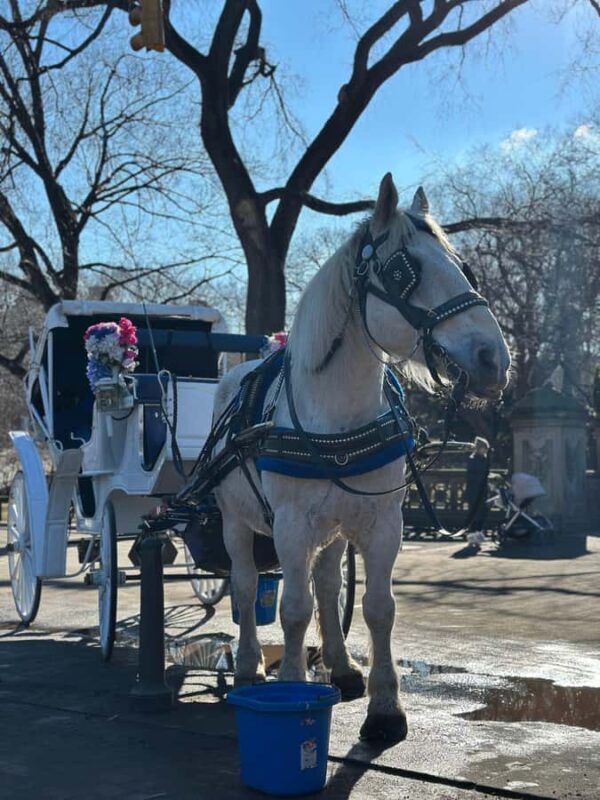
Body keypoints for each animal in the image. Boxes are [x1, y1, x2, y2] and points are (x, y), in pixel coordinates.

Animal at [213, 173, 510, 743]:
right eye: (401, 272)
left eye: (462, 267)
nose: (494, 359)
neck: (338, 413)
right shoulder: (290, 525)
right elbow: (293, 608)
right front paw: (291, 684)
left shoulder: (382, 521)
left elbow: (377, 608)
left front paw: (385, 705)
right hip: (236, 522)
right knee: (244, 584)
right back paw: (248, 666)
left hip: (334, 525)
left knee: (329, 583)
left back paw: (342, 666)